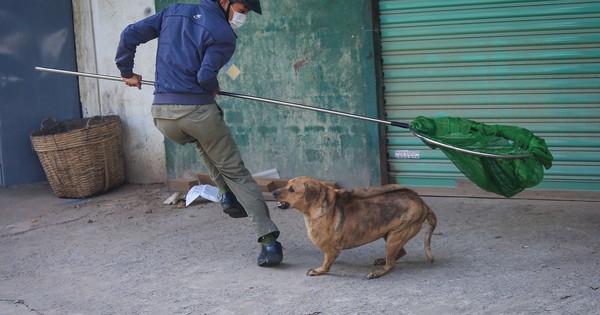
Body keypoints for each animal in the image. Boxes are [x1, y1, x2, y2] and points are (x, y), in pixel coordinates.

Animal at [272, 177, 436, 280]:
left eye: (292, 189)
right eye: (286, 185)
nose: (273, 192)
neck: (318, 203)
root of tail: (422, 203)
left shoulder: (331, 251)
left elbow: (326, 265)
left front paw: (319, 271)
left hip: (395, 237)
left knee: (391, 264)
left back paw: (378, 272)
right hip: (389, 234)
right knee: (400, 253)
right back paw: (382, 260)